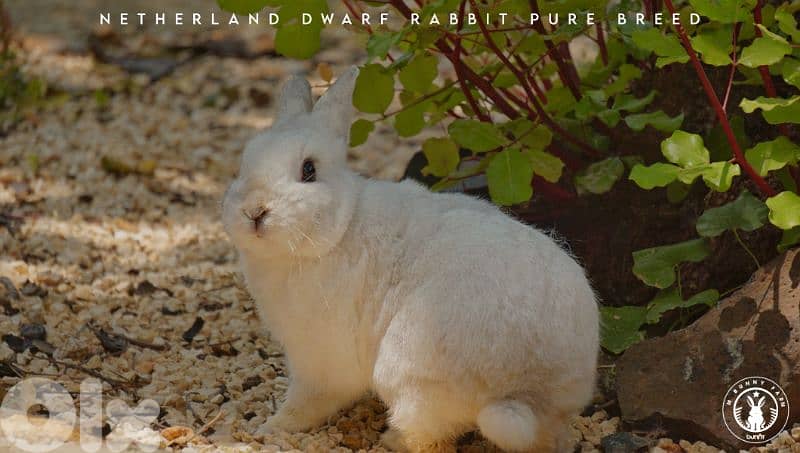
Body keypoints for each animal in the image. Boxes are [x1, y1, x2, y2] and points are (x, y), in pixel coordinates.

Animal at [221, 66, 599, 453]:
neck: (338, 230)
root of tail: (526, 389)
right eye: (243, 165)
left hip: (410, 374)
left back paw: (391, 439)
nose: (254, 212)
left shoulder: (319, 361)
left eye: (308, 170)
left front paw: (272, 427)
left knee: (426, 436)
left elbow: (309, 401)